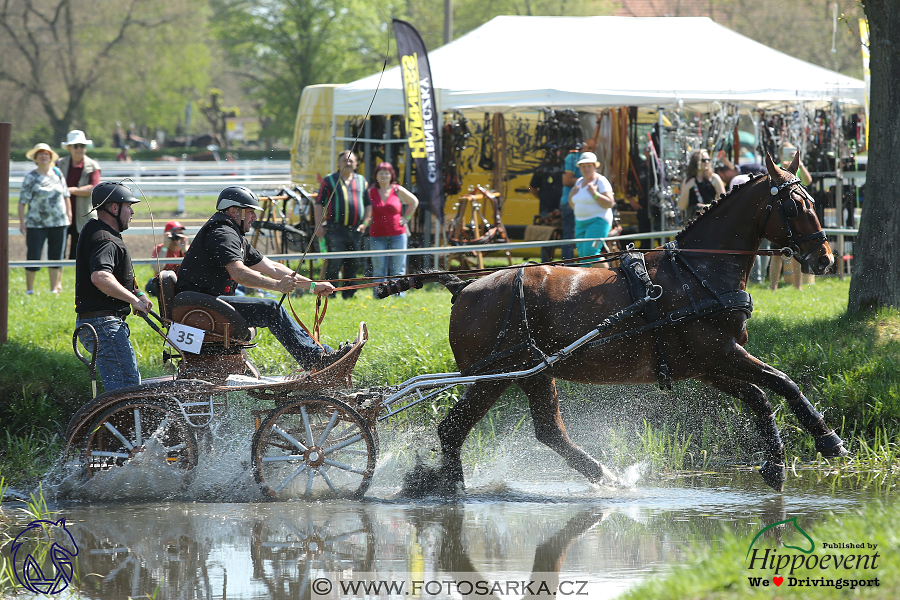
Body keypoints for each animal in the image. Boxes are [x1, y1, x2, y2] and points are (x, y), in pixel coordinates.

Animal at [410, 152, 844, 494]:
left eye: (813, 200)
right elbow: (781, 383)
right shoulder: (721, 352)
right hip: (494, 375)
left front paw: (777, 463)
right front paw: (826, 440)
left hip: (533, 373)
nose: (825, 258)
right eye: (794, 206)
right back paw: (451, 490)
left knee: (548, 431)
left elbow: (759, 396)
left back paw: (604, 476)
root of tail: (465, 286)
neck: (697, 271)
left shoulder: (707, 364)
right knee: (453, 429)